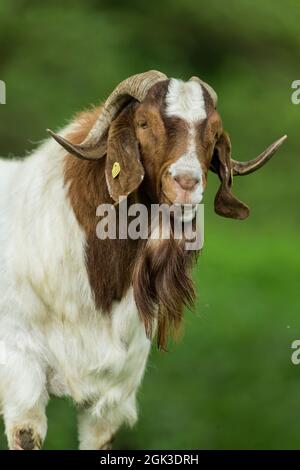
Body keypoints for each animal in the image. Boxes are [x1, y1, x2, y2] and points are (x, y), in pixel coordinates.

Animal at [0, 71, 286, 450]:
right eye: (143, 122)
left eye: (213, 133)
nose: (186, 183)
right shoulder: (20, 371)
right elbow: (27, 434)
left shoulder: (115, 388)